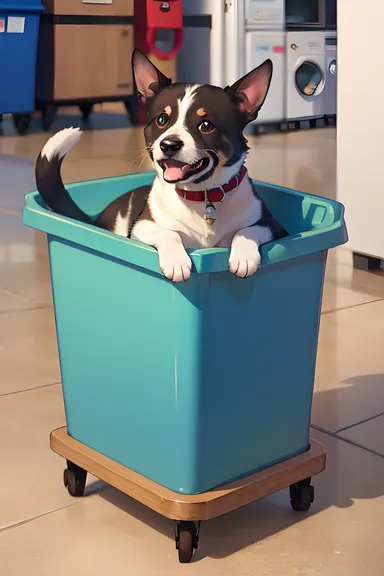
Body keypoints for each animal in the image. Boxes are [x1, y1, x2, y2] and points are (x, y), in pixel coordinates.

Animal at [36, 48, 286, 282]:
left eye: (206, 125)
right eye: (162, 119)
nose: (169, 144)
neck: (202, 195)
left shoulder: (275, 226)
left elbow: (247, 229)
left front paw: (243, 255)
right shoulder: (142, 226)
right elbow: (169, 233)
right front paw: (177, 262)